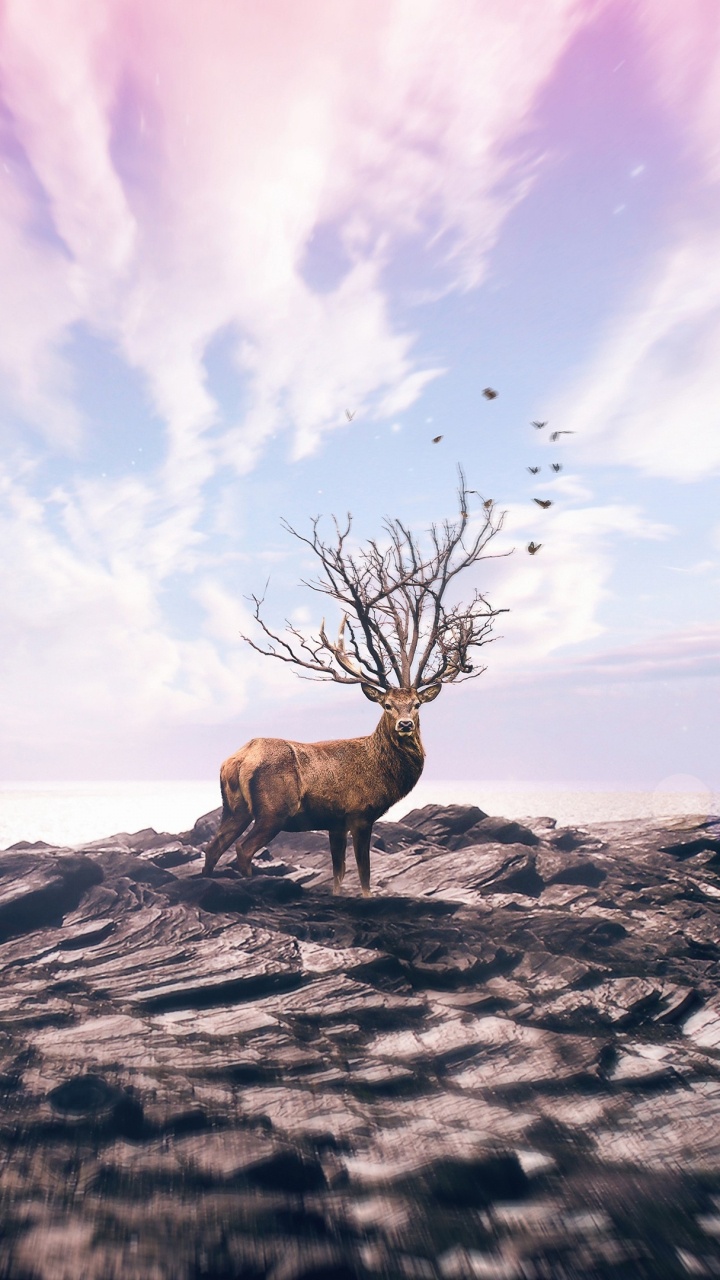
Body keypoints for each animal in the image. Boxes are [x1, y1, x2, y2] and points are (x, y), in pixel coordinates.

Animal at [203, 470, 508, 896]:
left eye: (417, 703)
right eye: (386, 705)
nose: (405, 724)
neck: (382, 774)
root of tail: (237, 758)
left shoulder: (334, 821)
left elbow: (338, 874)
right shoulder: (360, 812)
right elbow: (363, 875)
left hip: (233, 806)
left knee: (212, 848)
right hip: (272, 809)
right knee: (242, 851)